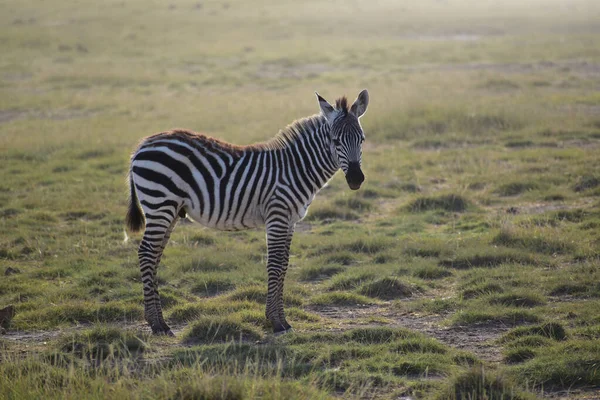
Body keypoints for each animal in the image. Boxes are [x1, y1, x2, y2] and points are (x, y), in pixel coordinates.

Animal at [126, 90, 368, 334]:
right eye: (335, 141)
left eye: (362, 139)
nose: (356, 179)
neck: (296, 168)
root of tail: (143, 144)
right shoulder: (277, 215)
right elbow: (275, 264)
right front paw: (276, 321)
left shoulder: (290, 221)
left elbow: (284, 265)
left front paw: (282, 320)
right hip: (160, 203)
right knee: (146, 253)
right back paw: (157, 324)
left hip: (170, 209)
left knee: (154, 255)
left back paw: (158, 321)